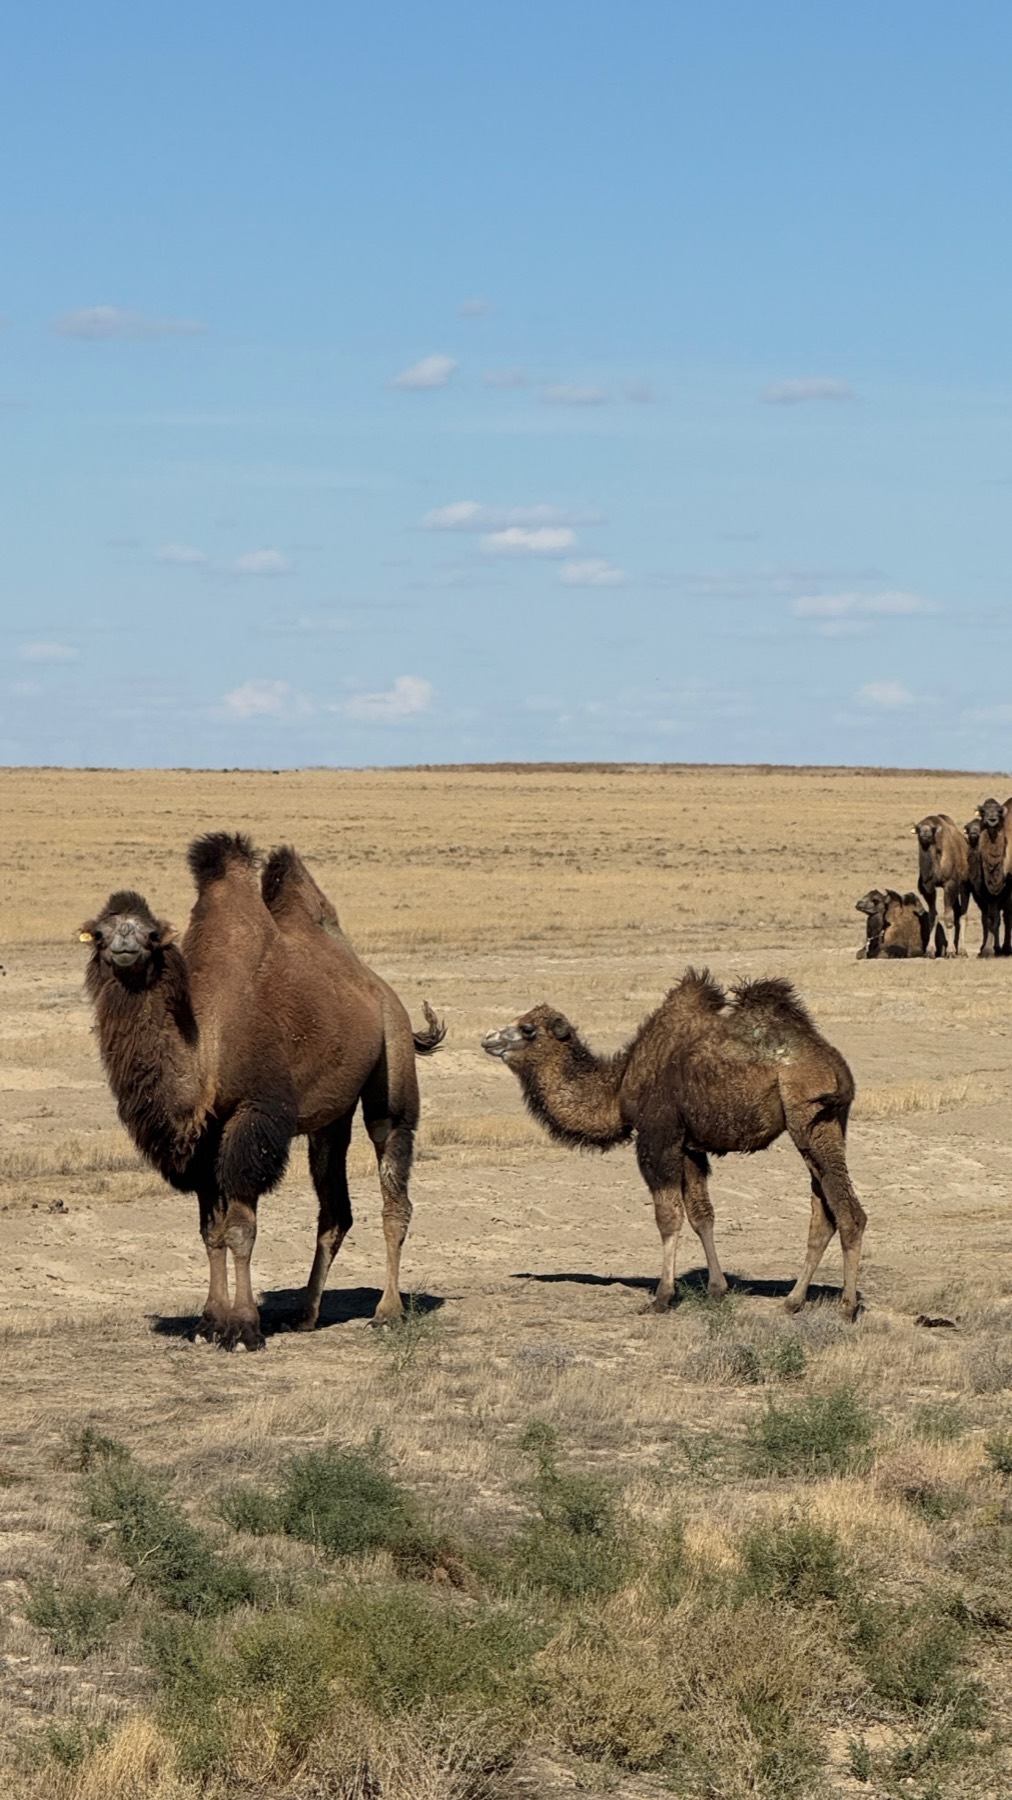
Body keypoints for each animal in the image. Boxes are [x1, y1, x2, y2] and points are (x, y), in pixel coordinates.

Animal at [80, 834, 444, 1349]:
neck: (206, 1045)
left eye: (152, 935)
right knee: (334, 1210)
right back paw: (304, 1314)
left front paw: (244, 1328)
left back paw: (387, 1311)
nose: (124, 947)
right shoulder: (204, 1141)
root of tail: (379, 989)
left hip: (391, 1071)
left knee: (394, 1183)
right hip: (329, 1118)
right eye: (100, 932)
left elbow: (240, 1229)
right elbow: (209, 1231)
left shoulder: (253, 1118)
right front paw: (208, 1323)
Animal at [482, 971, 866, 1320]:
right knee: (824, 1212)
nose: (487, 1038)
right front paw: (717, 1289)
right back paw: (792, 1302)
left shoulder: (659, 1136)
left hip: (810, 1117)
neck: (619, 1087)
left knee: (849, 1213)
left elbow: (668, 1217)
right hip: (824, 1124)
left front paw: (662, 1297)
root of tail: (838, 1065)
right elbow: (701, 1216)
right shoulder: (689, 1147)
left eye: (527, 1029)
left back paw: (846, 1308)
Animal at [913, 814, 970, 956]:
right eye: (918, 828)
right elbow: (932, 917)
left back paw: (962, 950)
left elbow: (948, 917)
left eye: (932, 829)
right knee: (958, 911)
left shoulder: (950, 883)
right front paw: (930, 951)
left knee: (963, 914)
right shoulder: (927, 888)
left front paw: (950, 951)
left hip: (965, 885)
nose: (925, 832)